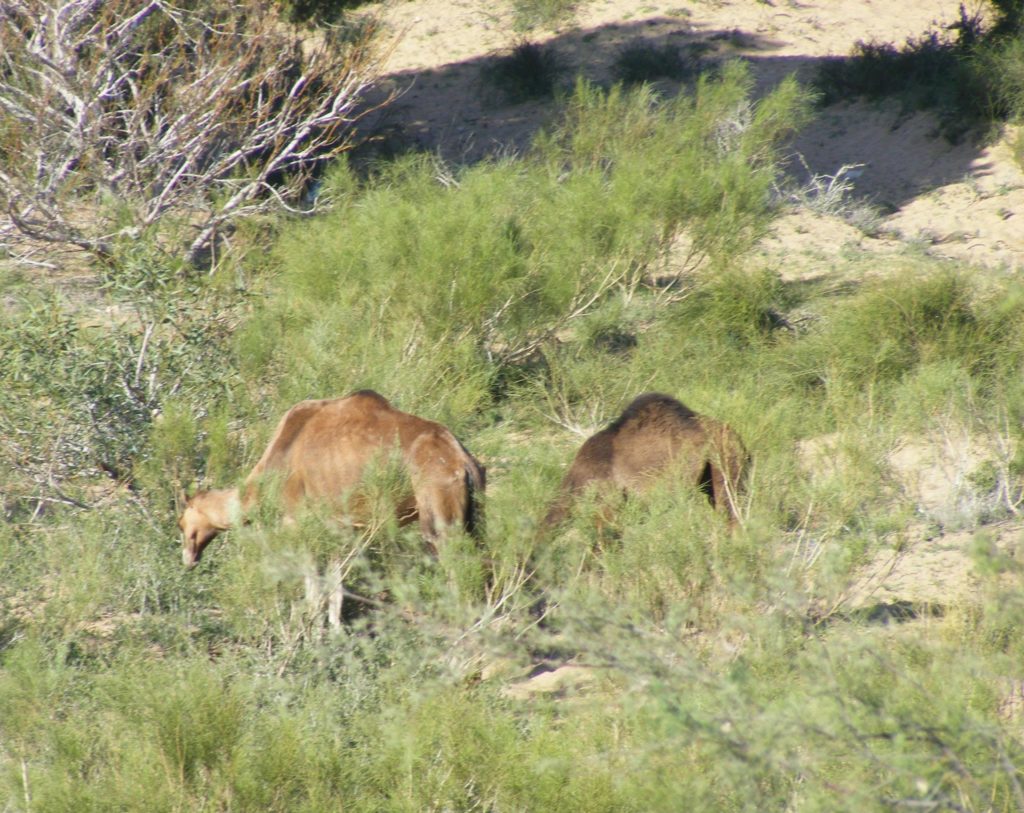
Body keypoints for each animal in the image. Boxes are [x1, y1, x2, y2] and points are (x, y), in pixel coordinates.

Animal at [178, 389, 485, 565]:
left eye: (181, 523)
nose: (188, 558)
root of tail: (463, 462)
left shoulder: (295, 518)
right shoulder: (343, 525)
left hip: (437, 511)